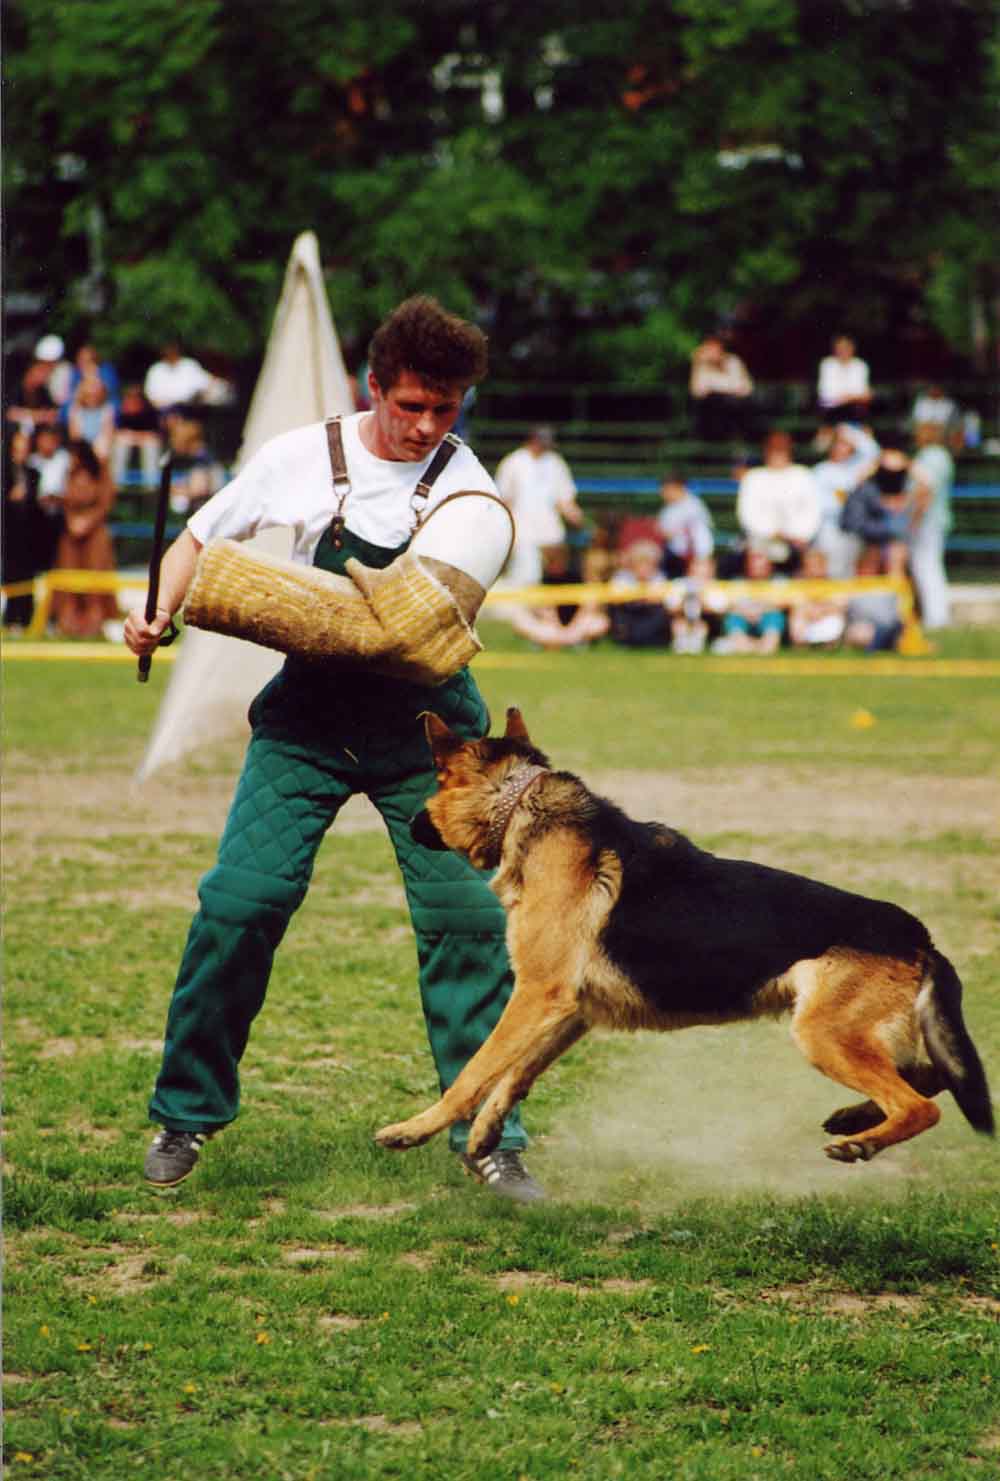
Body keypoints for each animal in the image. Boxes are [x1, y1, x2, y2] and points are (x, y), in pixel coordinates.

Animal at [376, 710, 995, 1172]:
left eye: (434, 780)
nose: (411, 824)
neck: (520, 804)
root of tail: (921, 938)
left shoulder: (536, 995)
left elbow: (476, 1071)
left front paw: (413, 1129)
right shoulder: (570, 1010)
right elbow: (516, 1074)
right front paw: (485, 1133)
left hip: (824, 1034)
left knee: (922, 1105)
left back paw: (860, 1140)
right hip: (856, 1036)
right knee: (932, 1077)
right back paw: (856, 1120)